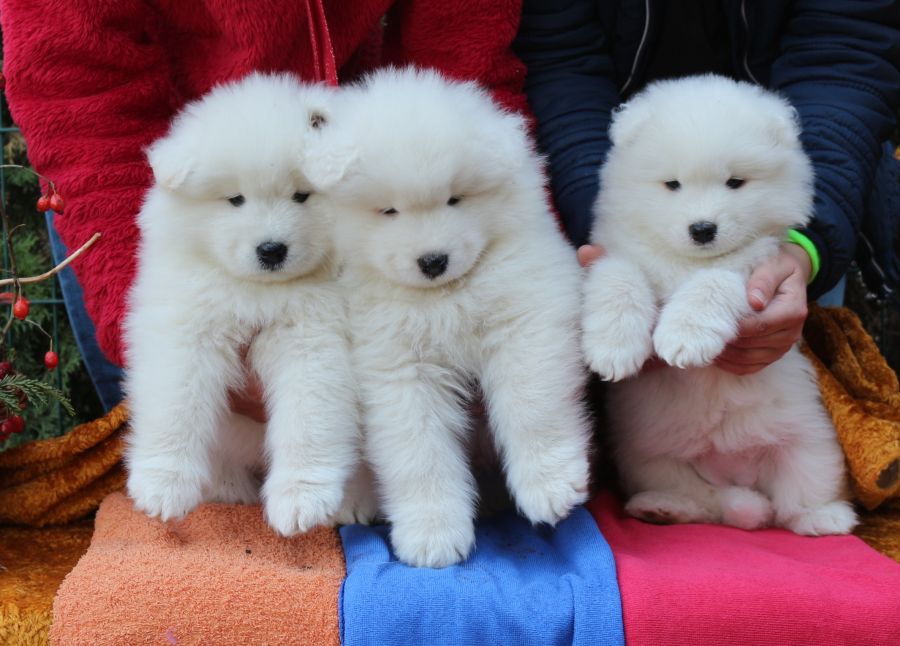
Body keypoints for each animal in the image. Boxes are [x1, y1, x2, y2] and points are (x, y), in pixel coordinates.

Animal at [124, 72, 362, 536]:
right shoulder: (185, 330)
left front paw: (300, 498)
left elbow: (308, 417)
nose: (271, 250)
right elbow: (175, 404)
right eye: (235, 199)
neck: (260, 292)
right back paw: (228, 488)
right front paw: (163, 485)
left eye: (302, 195)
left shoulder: (314, 342)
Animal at [306, 68, 596, 568]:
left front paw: (549, 485)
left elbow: (532, 407)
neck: (443, 297)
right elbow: (419, 452)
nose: (433, 260)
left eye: (455, 199)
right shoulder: (399, 368)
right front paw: (432, 534)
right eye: (389, 210)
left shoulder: (526, 321)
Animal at [584, 74, 856, 536]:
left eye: (735, 183)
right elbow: (620, 280)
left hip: (811, 443)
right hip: (647, 456)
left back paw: (825, 517)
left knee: (793, 502)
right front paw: (613, 348)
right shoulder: (620, 254)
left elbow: (713, 284)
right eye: (672, 184)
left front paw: (684, 338)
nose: (702, 229)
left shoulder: (755, 270)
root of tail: (737, 473)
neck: (686, 261)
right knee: (708, 504)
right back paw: (664, 507)